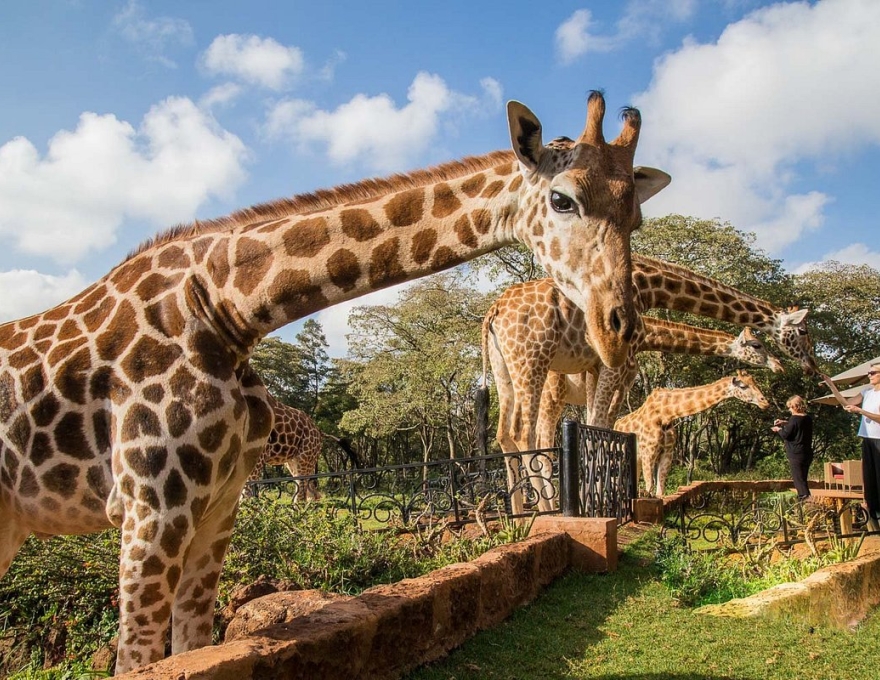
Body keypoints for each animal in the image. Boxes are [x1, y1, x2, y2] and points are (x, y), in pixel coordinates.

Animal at [0, 91, 670, 673]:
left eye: (635, 216)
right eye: (562, 200)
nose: (620, 328)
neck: (227, 310)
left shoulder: (217, 505)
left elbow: (191, 647)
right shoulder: (149, 507)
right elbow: (138, 660)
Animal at [614, 370, 770, 497]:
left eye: (755, 383)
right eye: (743, 386)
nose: (765, 402)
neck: (666, 414)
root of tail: (616, 423)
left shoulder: (667, 453)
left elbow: (660, 490)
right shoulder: (649, 451)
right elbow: (649, 485)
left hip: (637, 458)